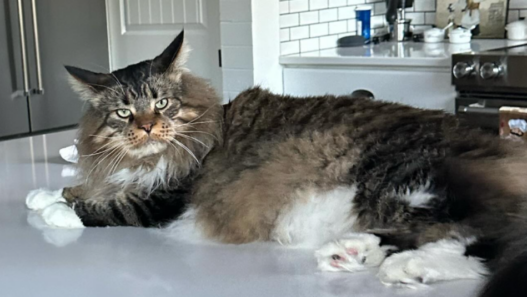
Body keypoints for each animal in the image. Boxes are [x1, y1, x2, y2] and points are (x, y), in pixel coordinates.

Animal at [26, 31, 527, 294]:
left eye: (162, 103)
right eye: (124, 113)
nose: (148, 128)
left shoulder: (166, 198)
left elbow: (104, 206)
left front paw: (54, 208)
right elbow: (89, 186)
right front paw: (45, 192)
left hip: (400, 178)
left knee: (487, 236)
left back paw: (405, 266)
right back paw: (356, 253)